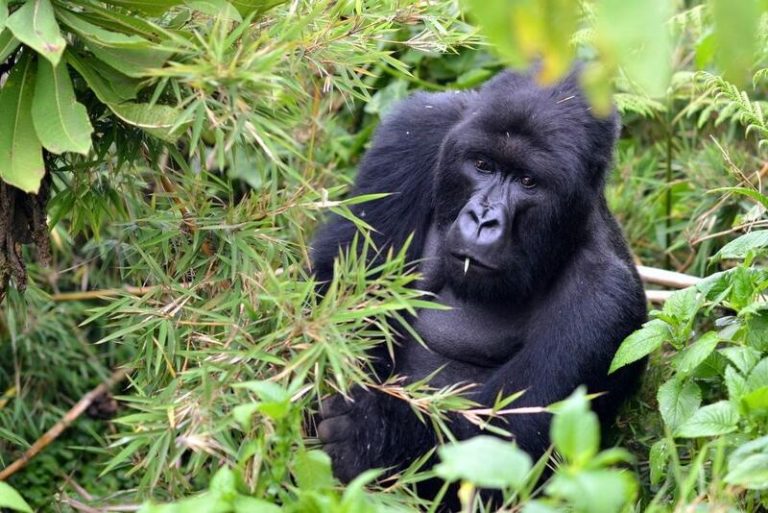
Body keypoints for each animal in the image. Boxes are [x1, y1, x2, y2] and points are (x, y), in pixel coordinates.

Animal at [308, 69, 644, 484]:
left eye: (528, 182)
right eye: (483, 165)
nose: (483, 220)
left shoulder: (607, 301)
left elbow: (499, 450)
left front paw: (372, 434)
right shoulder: (416, 129)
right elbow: (342, 298)